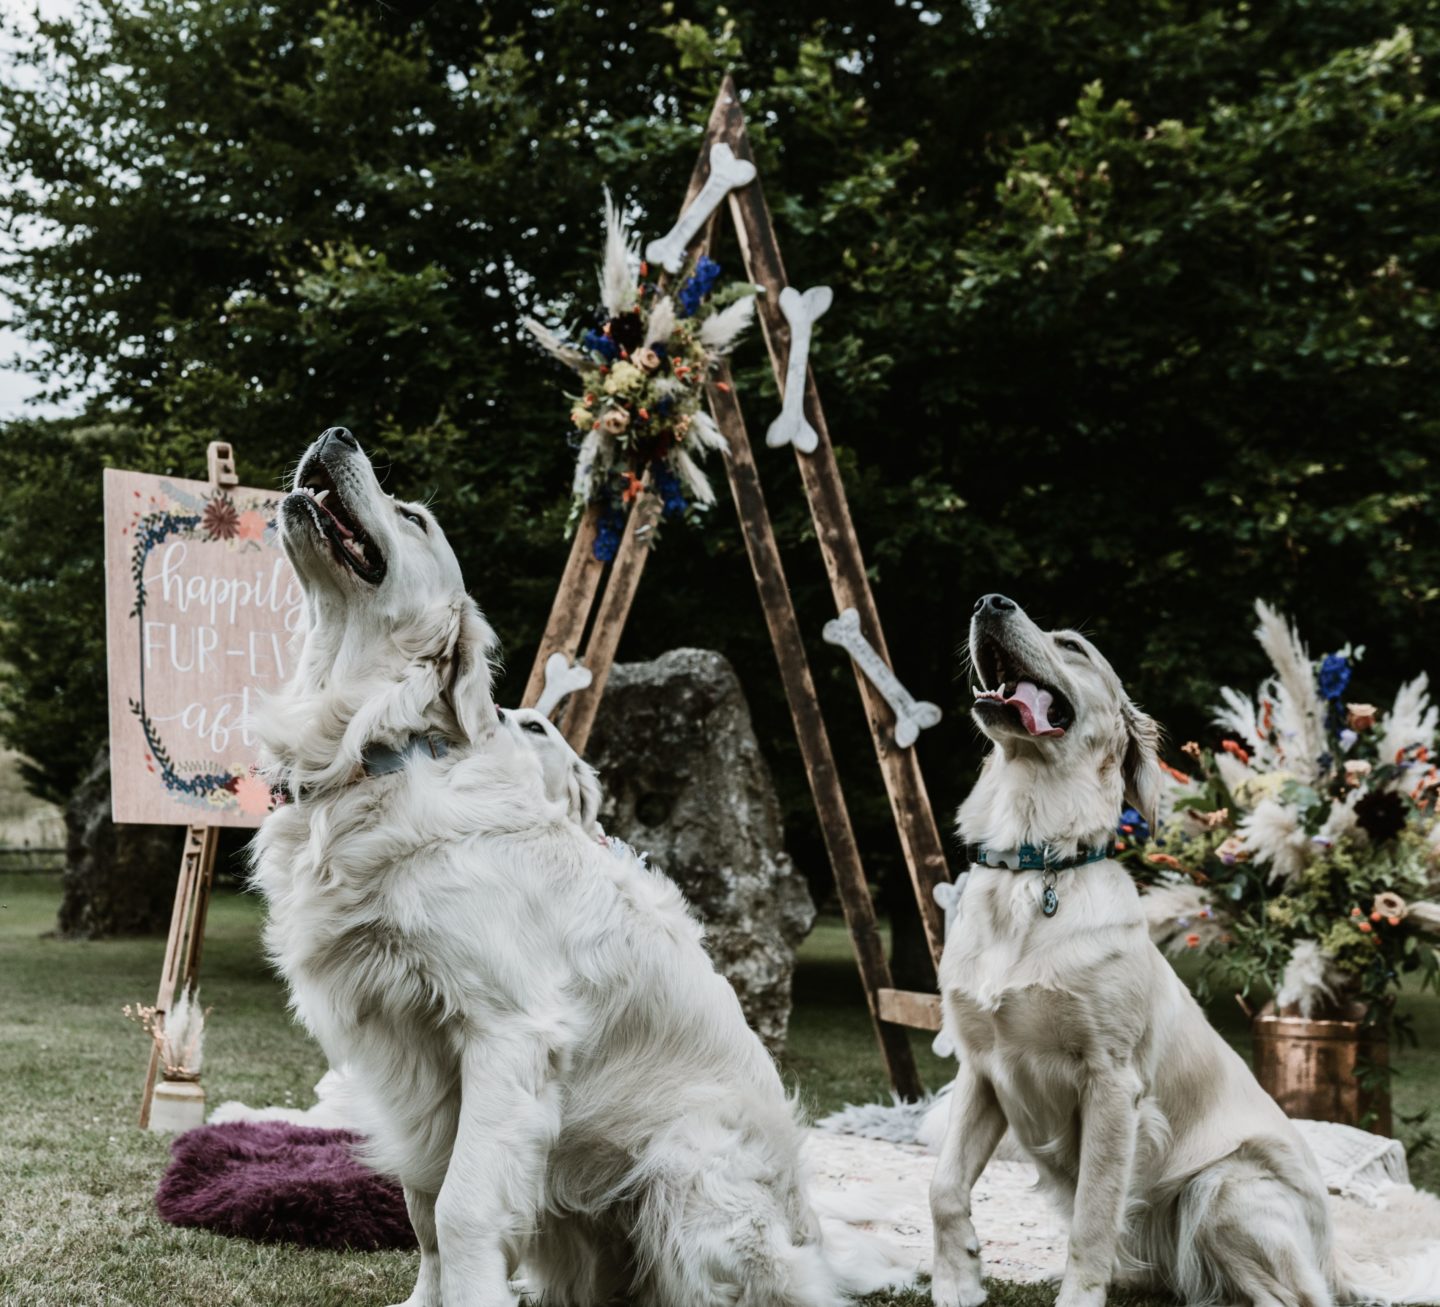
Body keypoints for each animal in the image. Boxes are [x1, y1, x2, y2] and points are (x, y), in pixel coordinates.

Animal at [246, 434, 898, 1307]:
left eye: (413, 516)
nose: (336, 435)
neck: (371, 747)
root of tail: (815, 1241)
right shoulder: (407, 1054)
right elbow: (421, 1204)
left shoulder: (505, 1030)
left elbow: (459, 1208)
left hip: (688, 1173)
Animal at [927, 595, 1434, 1307]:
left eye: (1072, 645)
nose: (989, 602)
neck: (1037, 864)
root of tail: (1333, 1252)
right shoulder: (981, 1067)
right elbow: (943, 1186)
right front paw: (958, 1281)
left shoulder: (1112, 1083)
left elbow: (1091, 1217)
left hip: (1222, 1189)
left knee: (1298, 1298)